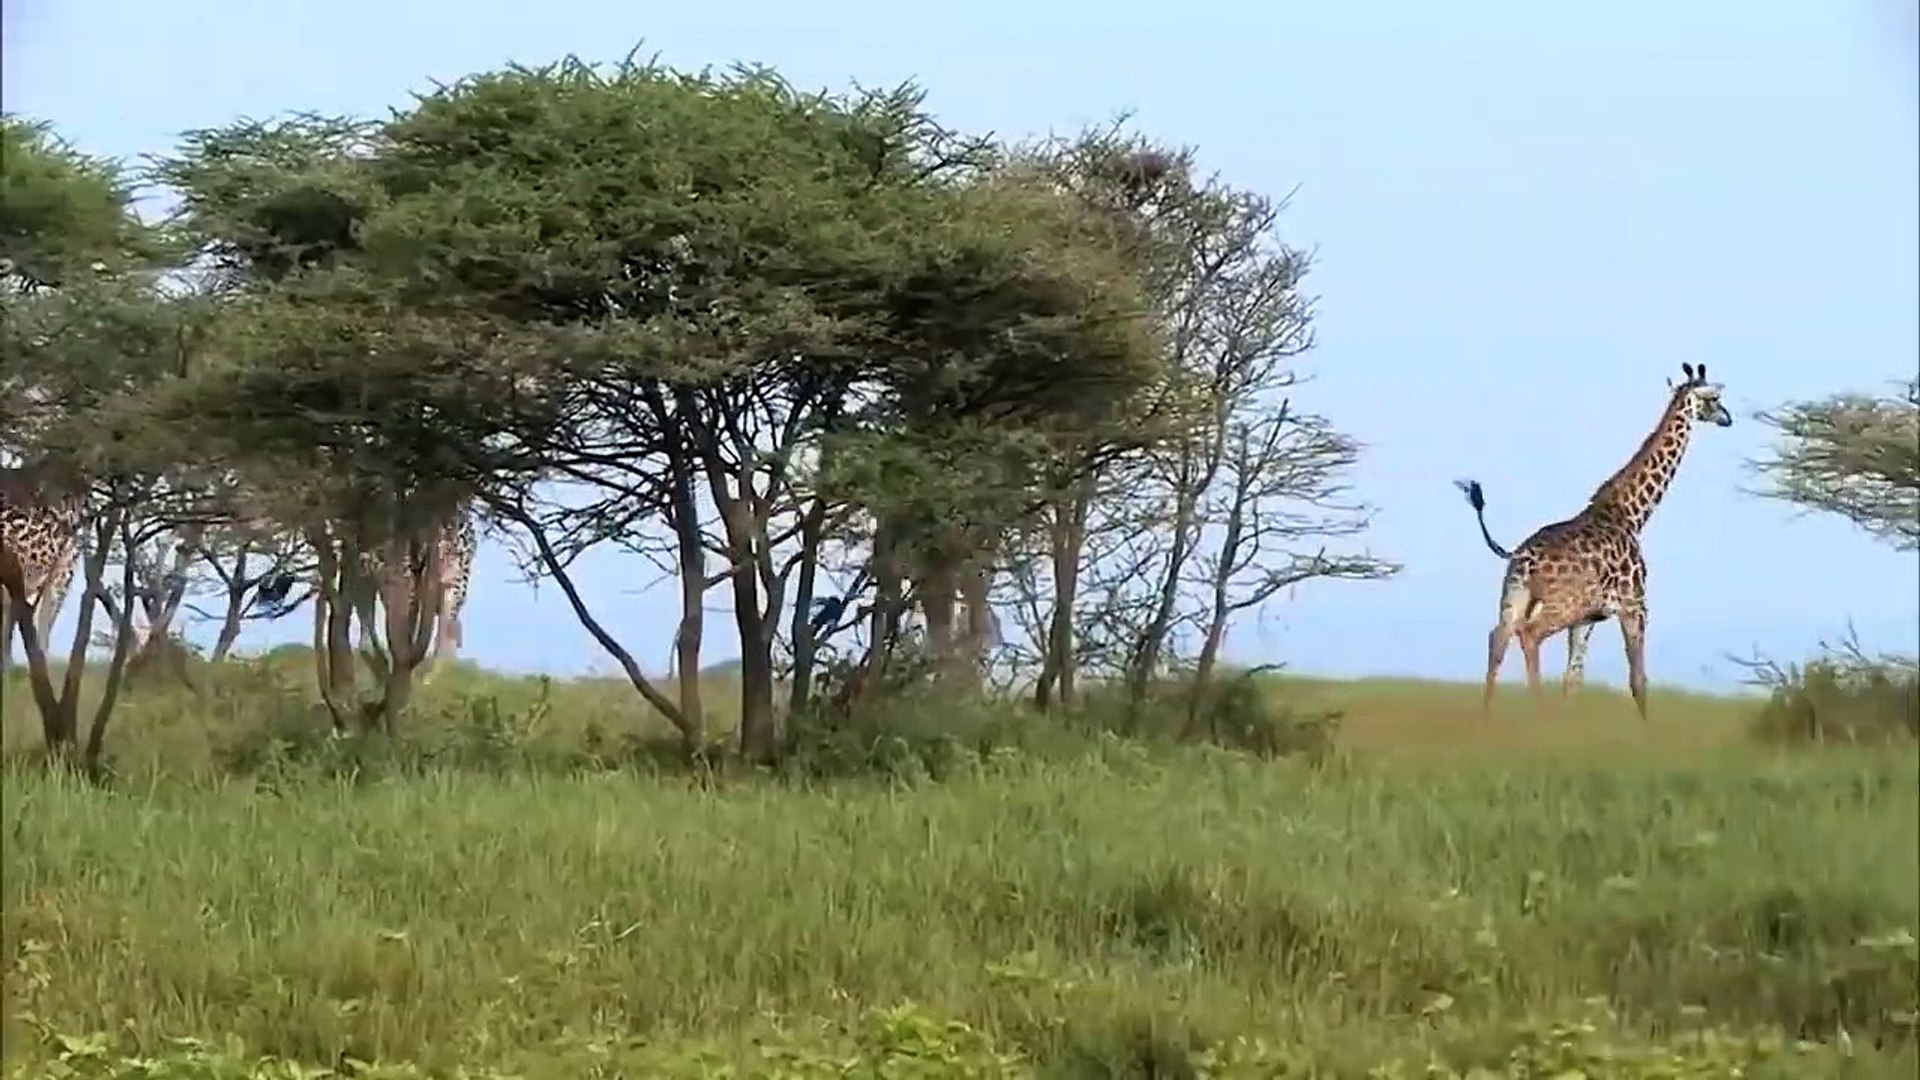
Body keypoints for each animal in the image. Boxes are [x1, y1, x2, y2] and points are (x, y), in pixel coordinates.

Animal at [1456, 362, 1733, 718]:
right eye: (1714, 398)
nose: (1727, 417)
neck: (1632, 514)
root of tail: (1521, 557)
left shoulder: (1587, 619)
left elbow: (1573, 681)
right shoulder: (1635, 605)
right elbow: (1638, 680)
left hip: (1513, 597)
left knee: (1497, 638)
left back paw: (1488, 715)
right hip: (1560, 605)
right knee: (1530, 634)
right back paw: (1536, 712)